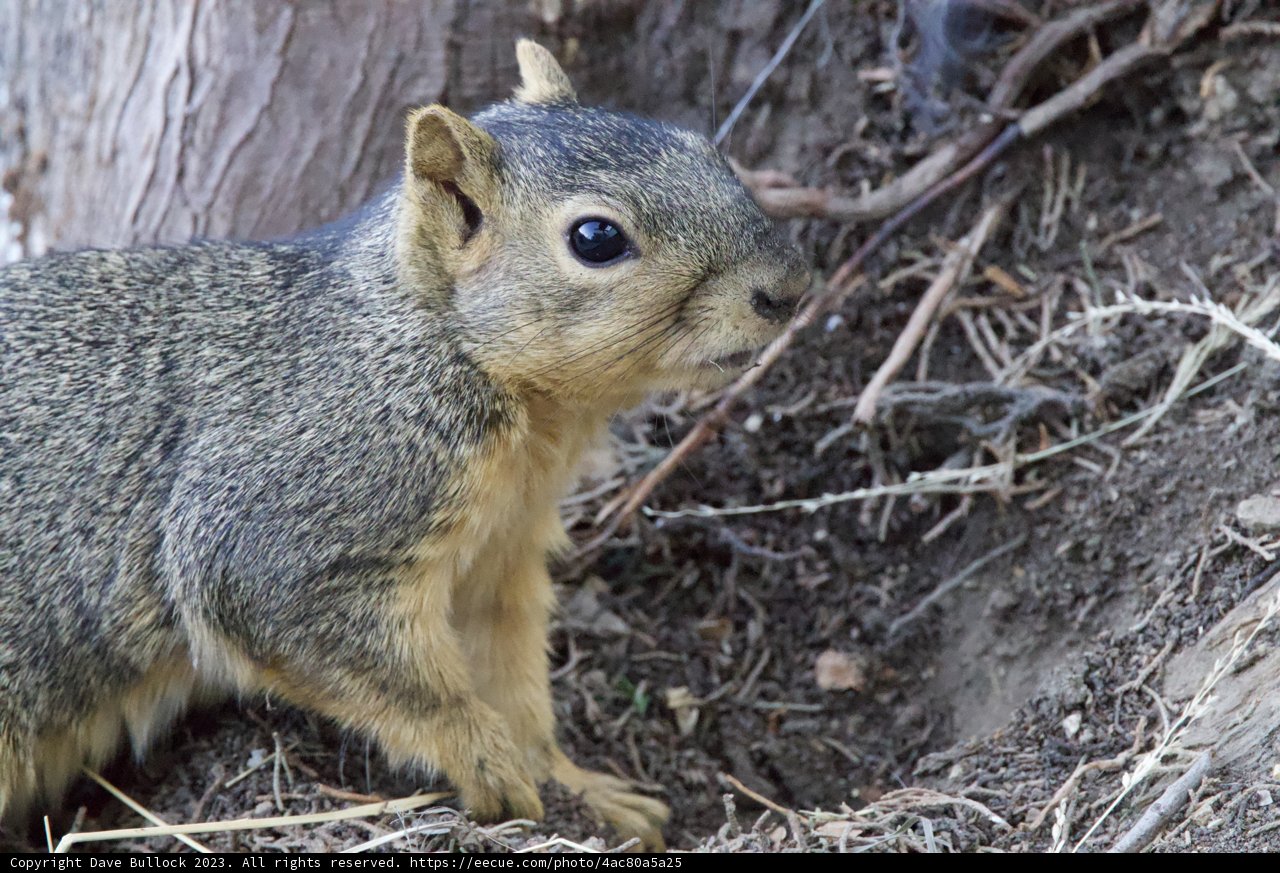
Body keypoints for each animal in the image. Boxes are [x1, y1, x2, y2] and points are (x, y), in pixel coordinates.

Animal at [0, 40, 807, 850]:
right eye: (596, 238)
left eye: (705, 149)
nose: (788, 287)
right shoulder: (298, 518)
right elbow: (394, 680)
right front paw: (491, 766)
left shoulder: (496, 559)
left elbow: (511, 683)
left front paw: (580, 788)